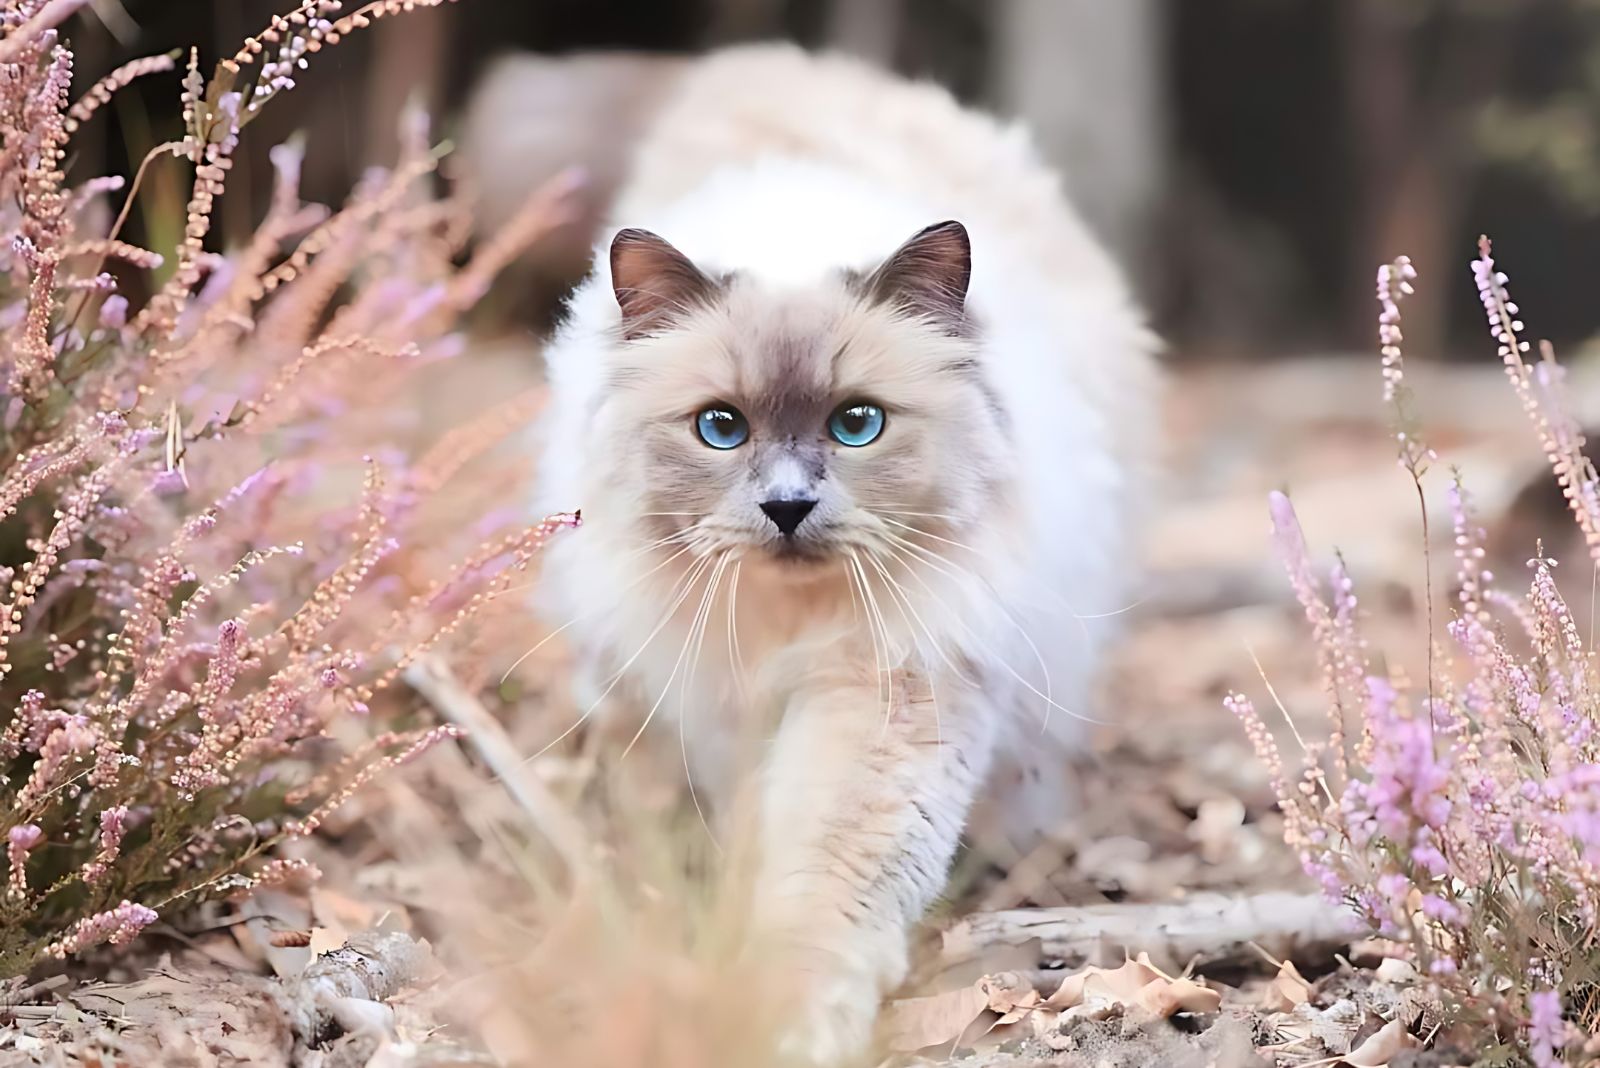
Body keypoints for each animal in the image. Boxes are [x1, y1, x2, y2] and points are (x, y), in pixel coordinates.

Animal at [492, 39, 1158, 1061]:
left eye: (857, 425)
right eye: (721, 429)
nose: (788, 506)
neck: (784, 626)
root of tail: (760, 63)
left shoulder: (887, 694)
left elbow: (818, 896)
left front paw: (788, 1024)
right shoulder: (724, 708)